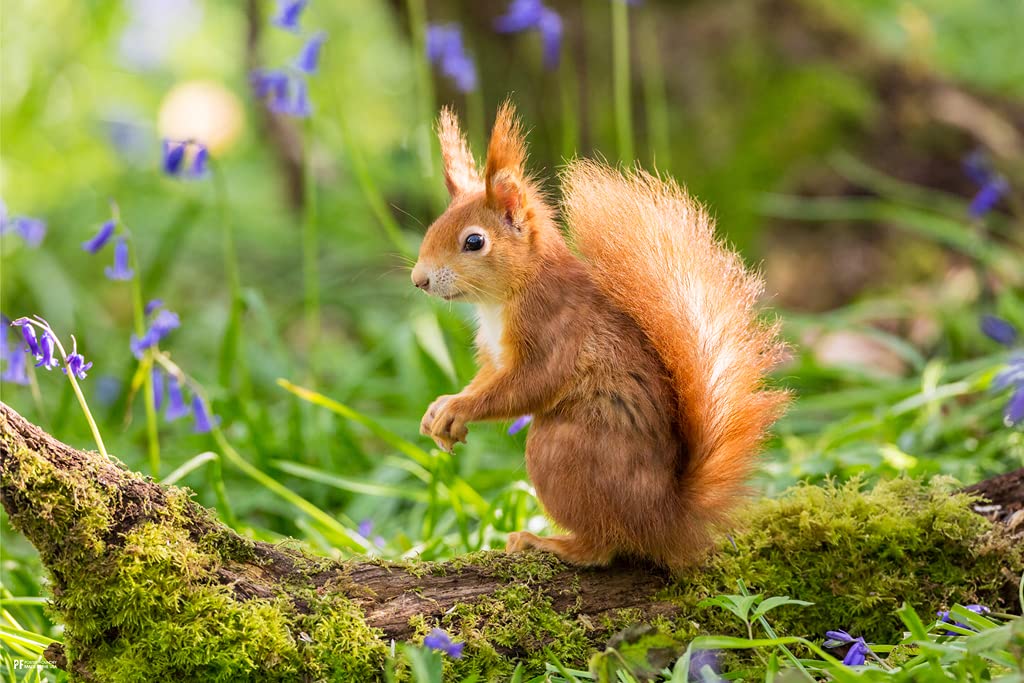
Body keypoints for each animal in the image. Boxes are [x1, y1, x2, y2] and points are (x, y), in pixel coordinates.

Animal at [411, 101, 789, 569]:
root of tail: (667, 518)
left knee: (605, 545)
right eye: (433, 227)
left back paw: (549, 542)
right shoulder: (494, 354)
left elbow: (527, 386)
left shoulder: (554, 331)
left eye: (474, 242)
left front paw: (457, 408)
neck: (502, 300)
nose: (419, 280)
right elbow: (487, 379)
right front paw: (440, 410)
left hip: (561, 452)